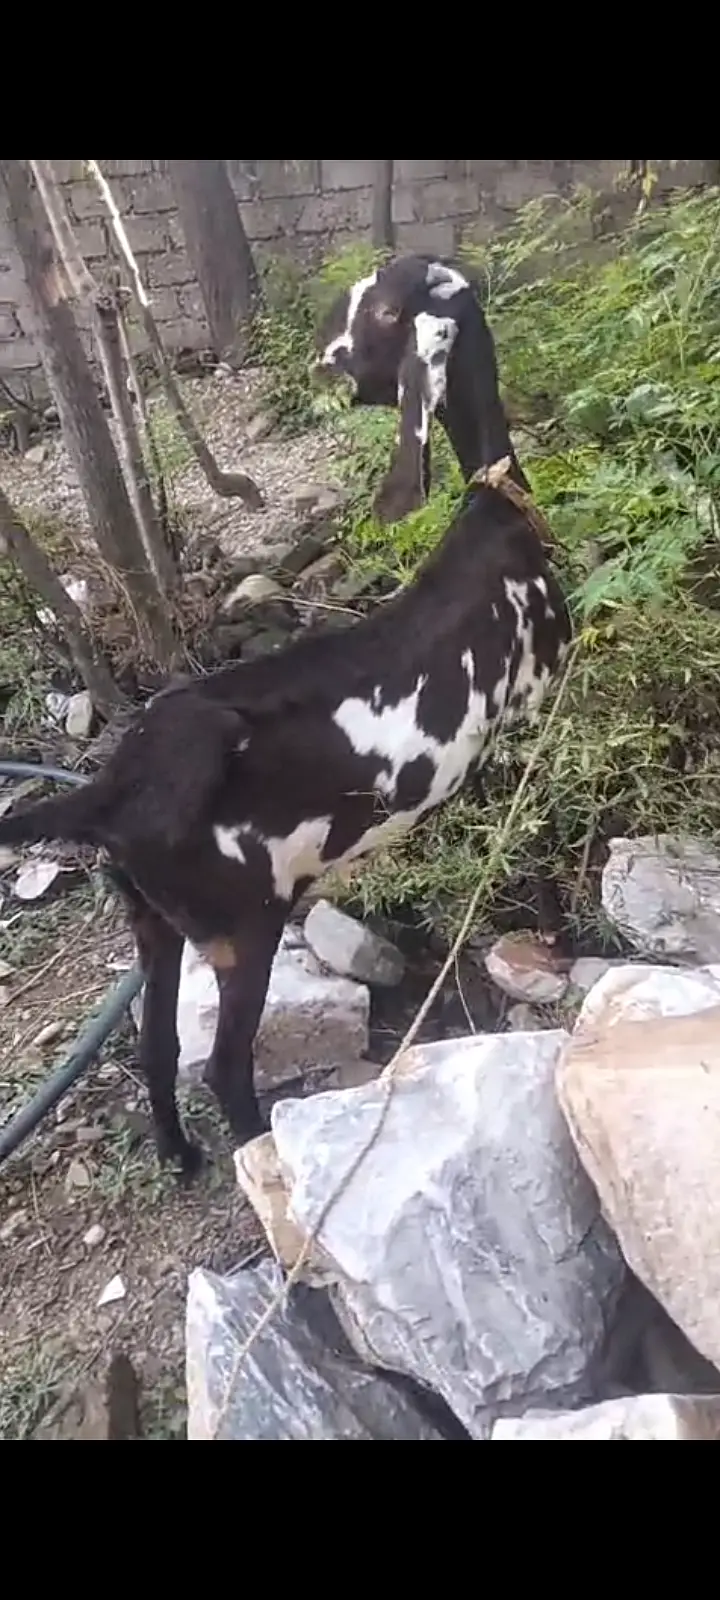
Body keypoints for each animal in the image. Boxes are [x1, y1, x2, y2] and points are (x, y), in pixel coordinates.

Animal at [0, 462, 571, 1182]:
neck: (491, 517)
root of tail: (105, 794)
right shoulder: (535, 708)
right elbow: (540, 839)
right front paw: (555, 940)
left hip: (155, 922)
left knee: (157, 1047)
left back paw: (182, 1156)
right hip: (243, 927)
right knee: (222, 1067)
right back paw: (263, 1157)